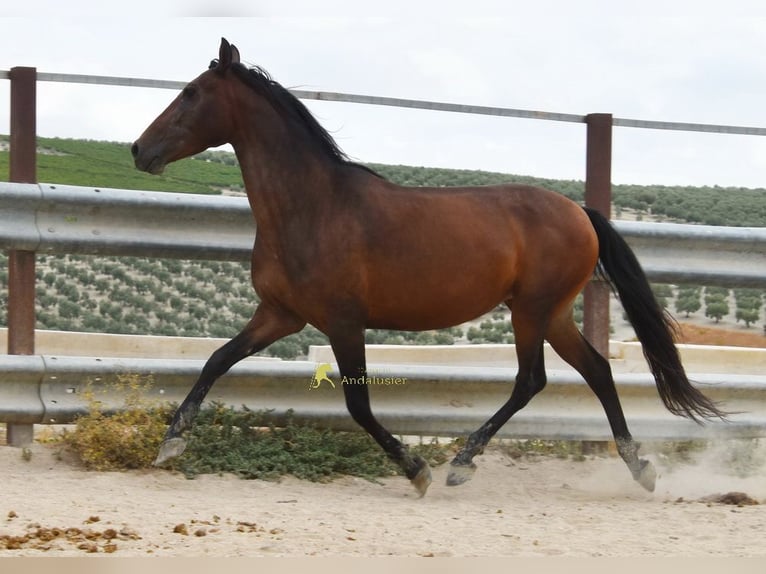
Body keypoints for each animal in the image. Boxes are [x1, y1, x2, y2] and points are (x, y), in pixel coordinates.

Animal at [131, 38, 725, 496]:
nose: (139, 150)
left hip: (531, 311)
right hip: (551, 313)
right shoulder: (280, 315)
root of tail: (580, 212)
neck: (312, 207)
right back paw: (640, 468)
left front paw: (416, 471)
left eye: (190, 93)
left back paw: (461, 465)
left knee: (531, 379)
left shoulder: (343, 322)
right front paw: (170, 444)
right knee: (596, 371)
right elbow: (216, 360)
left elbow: (358, 403)